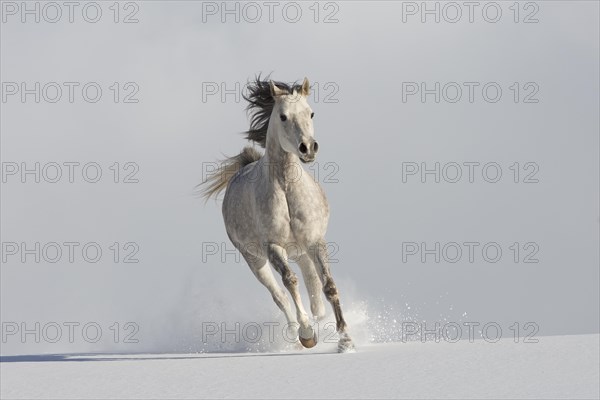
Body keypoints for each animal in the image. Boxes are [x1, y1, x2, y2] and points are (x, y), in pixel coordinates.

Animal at [200, 76, 352, 352]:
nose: (307, 148)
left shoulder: (315, 241)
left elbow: (329, 286)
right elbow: (290, 282)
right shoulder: (272, 247)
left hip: (301, 251)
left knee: (313, 286)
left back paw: (320, 319)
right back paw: (296, 336)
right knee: (280, 296)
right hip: (255, 259)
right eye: (283, 116)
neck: (286, 187)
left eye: (311, 112)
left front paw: (346, 340)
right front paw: (307, 334)